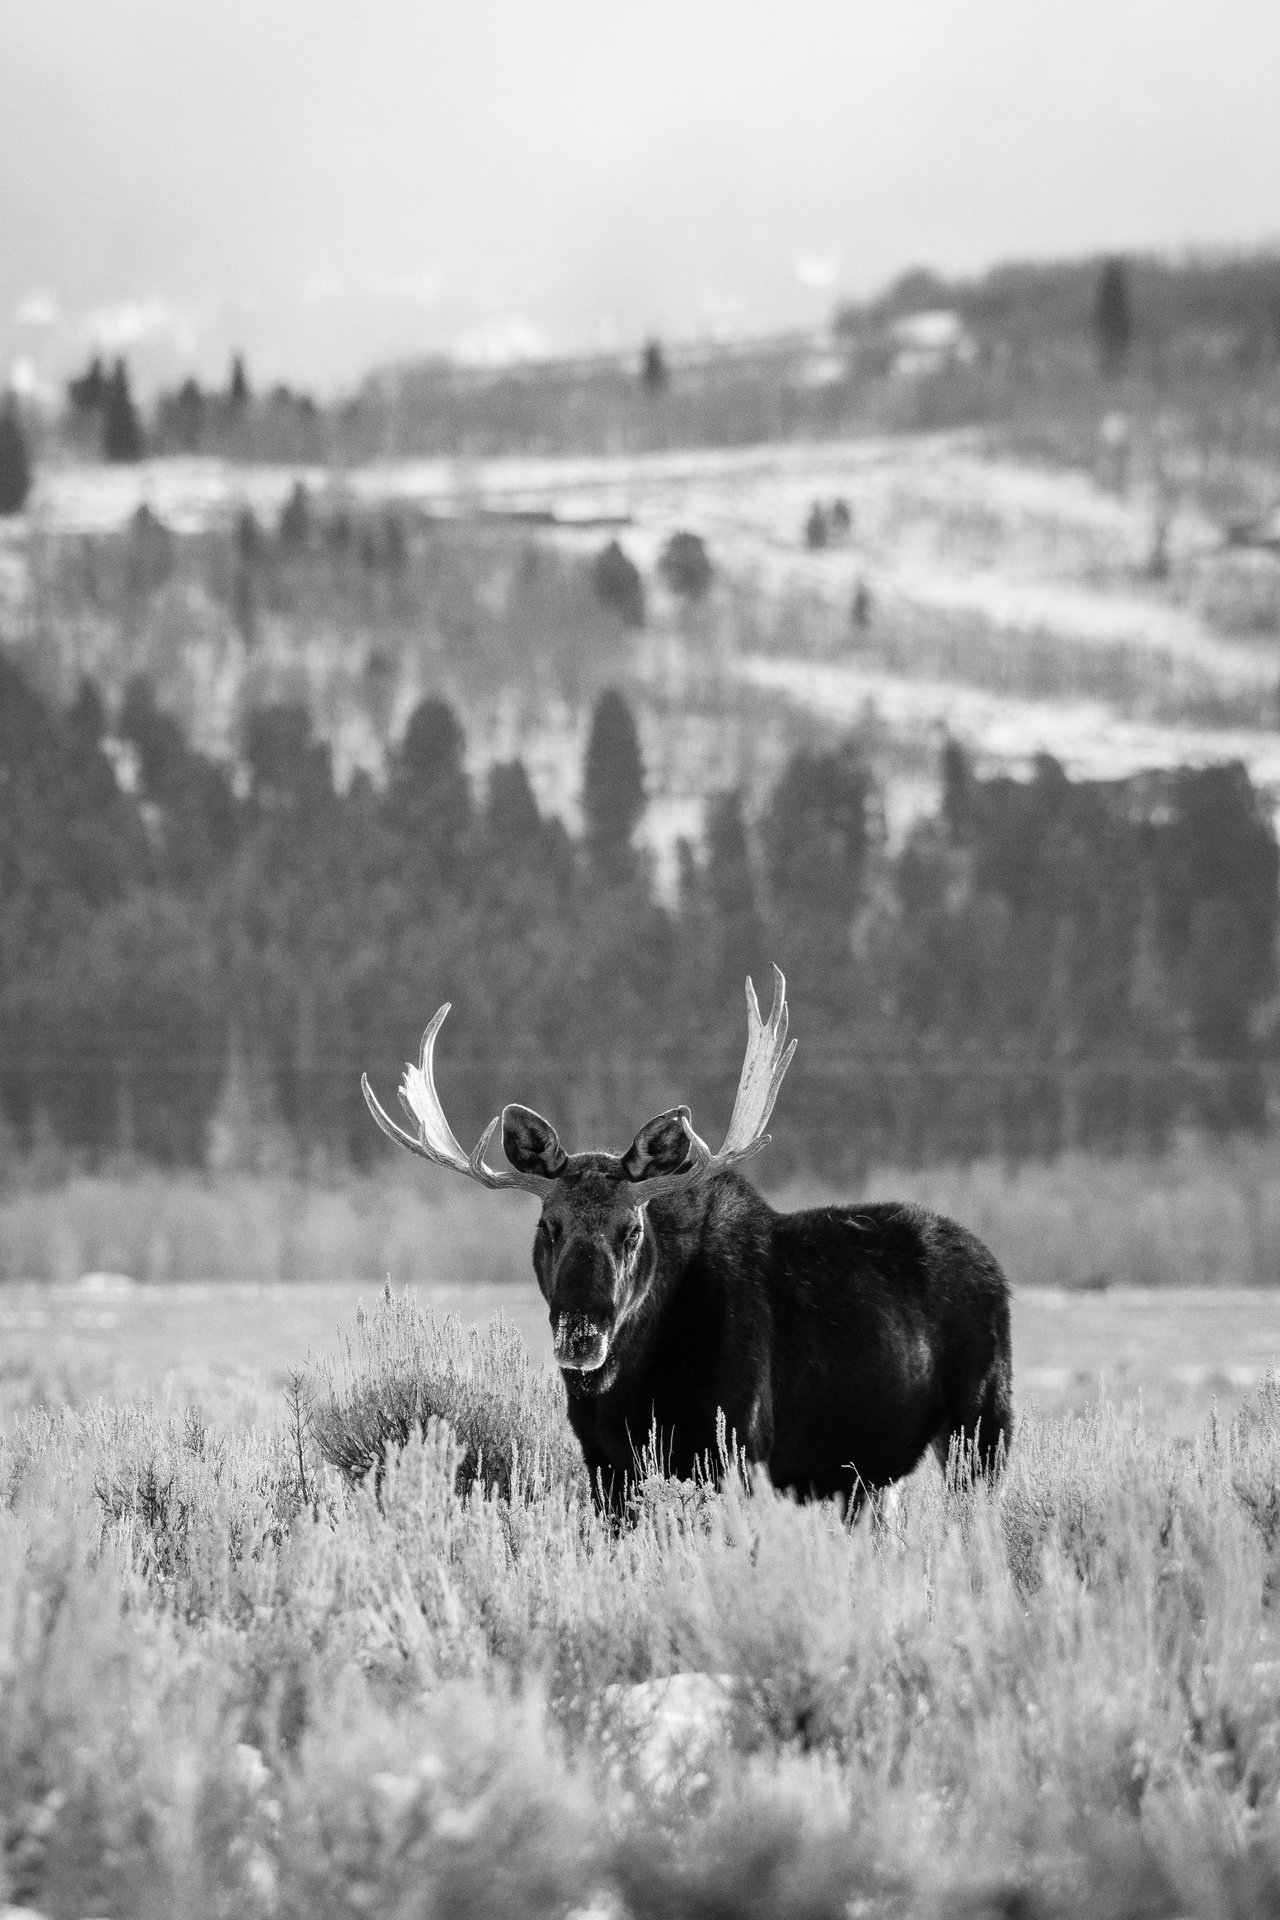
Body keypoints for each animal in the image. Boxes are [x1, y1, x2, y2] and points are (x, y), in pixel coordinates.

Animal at [362, 968, 1013, 1519]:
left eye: (632, 1230)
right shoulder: (604, 1462)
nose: (580, 1334)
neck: (629, 1390)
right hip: (873, 1473)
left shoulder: (739, 1447)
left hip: (983, 1424)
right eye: (548, 1226)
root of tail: (994, 1266)